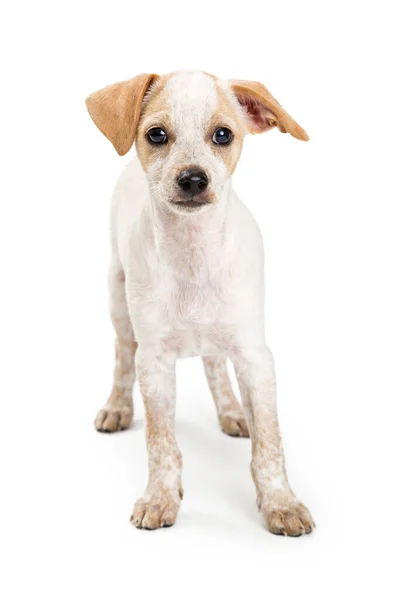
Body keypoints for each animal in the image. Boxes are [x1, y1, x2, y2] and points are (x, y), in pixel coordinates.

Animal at [86, 70, 314, 536]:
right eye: (156, 134)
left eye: (223, 134)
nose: (193, 179)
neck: (192, 255)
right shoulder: (153, 363)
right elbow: (160, 443)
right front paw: (160, 498)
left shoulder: (255, 357)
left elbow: (270, 442)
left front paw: (281, 503)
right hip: (118, 300)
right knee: (122, 356)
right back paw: (117, 408)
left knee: (214, 363)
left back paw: (231, 411)